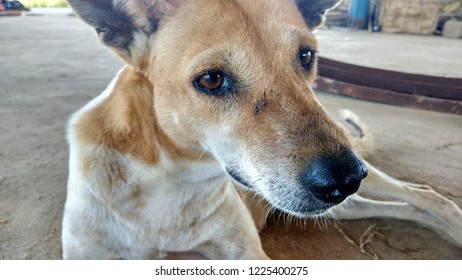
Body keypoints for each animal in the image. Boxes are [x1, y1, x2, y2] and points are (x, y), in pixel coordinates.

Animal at [62, 0, 462, 260]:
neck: (172, 180)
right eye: (211, 79)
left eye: (306, 56)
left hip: (365, 176)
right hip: (342, 204)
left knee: (423, 193)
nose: (344, 180)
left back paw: (453, 222)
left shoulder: (246, 253)